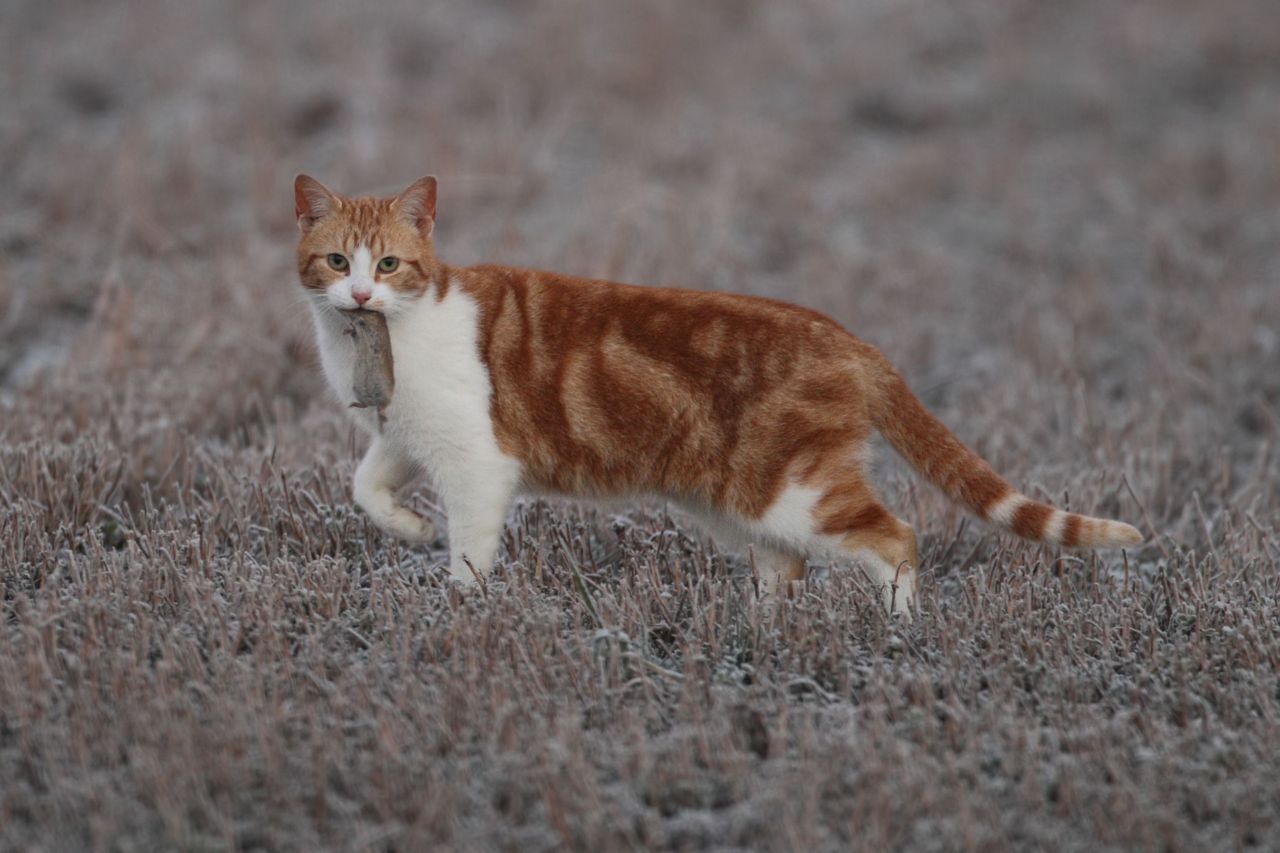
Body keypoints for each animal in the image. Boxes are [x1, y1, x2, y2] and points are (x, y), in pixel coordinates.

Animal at [296, 172, 1141, 612]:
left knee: (894, 537)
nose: (362, 295)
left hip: (797, 491)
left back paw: (901, 630)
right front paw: (409, 526)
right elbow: (364, 486)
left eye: (391, 264)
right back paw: (762, 630)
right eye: (337, 260)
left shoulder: (477, 463)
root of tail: (849, 338)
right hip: (744, 503)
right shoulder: (403, 436)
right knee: (785, 569)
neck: (380, 340)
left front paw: (459, 608)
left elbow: (469, 550)